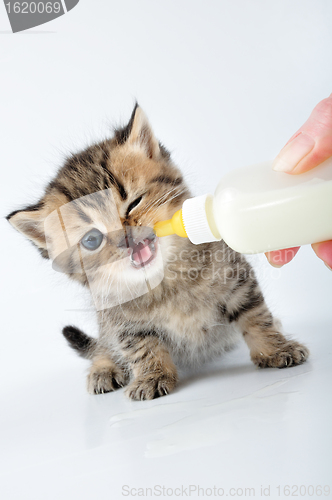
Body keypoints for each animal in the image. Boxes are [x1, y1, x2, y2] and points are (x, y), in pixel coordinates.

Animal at [7, 103, 308, 400]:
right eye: (92, 240)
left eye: (134, 203)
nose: (125, 240)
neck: (165, 282)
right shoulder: (121, 321)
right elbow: (142, 347)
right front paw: (152, 376)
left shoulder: (238, 281)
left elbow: (256, 317)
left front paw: (275, 349)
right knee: (103, 345)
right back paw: (102, 368)